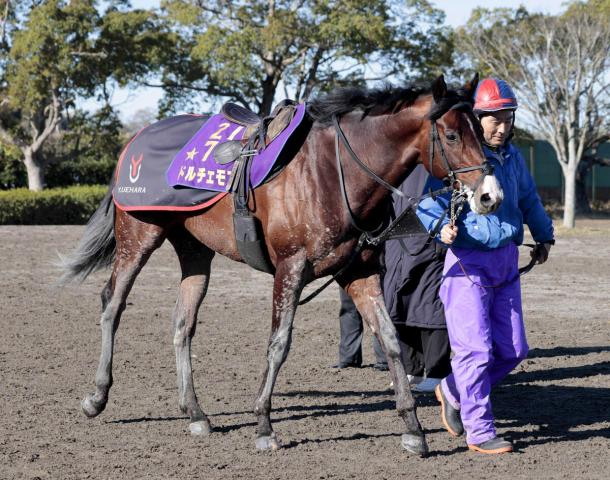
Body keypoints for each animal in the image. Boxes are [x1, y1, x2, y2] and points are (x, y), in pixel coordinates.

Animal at [60, 74, 498, 454]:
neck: (333, 171)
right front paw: (264, 425)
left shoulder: (360, 271)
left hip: (194, 249)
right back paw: (97, 396)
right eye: (453, 135)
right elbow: (279, 343)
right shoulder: (291, 268)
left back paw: (195, 412)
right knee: (112, 304)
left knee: (183, 323)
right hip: (138, 235)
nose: (490, 194)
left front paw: (412, 428)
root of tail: (134, 141)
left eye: (481, 131)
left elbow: (390, 339)